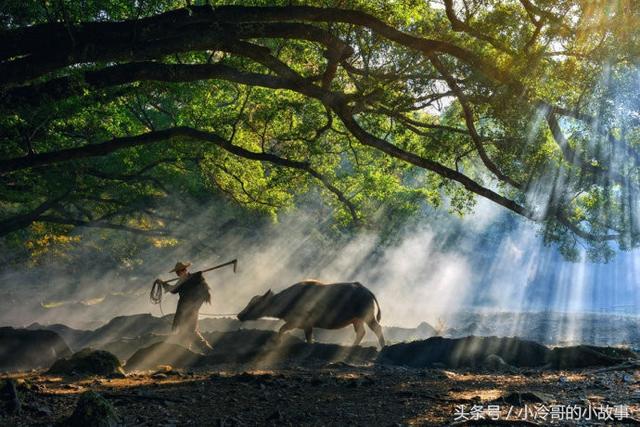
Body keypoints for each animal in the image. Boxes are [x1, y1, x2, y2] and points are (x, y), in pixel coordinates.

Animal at [236, 280, 382, 348]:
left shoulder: (297, 321)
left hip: (367, 316)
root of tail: (367, 290)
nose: (239, 315)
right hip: (356, 320)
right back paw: (353, 346)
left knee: (377, 328)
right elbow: (309, 338)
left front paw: (278, 342)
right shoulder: (308, 326)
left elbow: (281, 328)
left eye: (254, 304)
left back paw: (382, 346)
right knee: (361, 332)